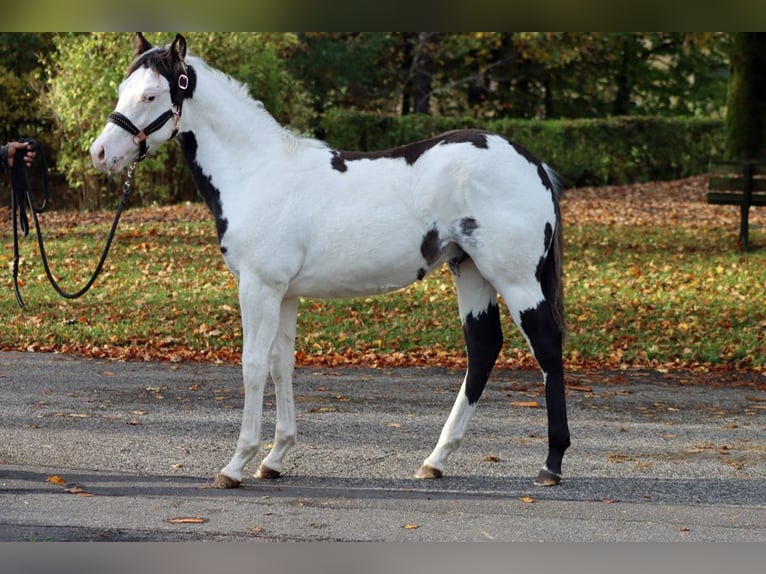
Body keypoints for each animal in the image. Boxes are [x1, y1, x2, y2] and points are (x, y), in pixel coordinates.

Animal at [90, 33, 570, 489]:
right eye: (122, 90)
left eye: (151, 95)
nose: (100, 154)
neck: (257, 172)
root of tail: (533, 163)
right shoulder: (284, 293)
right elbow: (281, 364)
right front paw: (274, 459)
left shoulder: (259, 287)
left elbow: (253, 365)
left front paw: (236, 464)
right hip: (469, 270)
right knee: (483, 348)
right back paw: (435, 460)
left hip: (515, 279)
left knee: (546, 345)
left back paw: (551, 464)